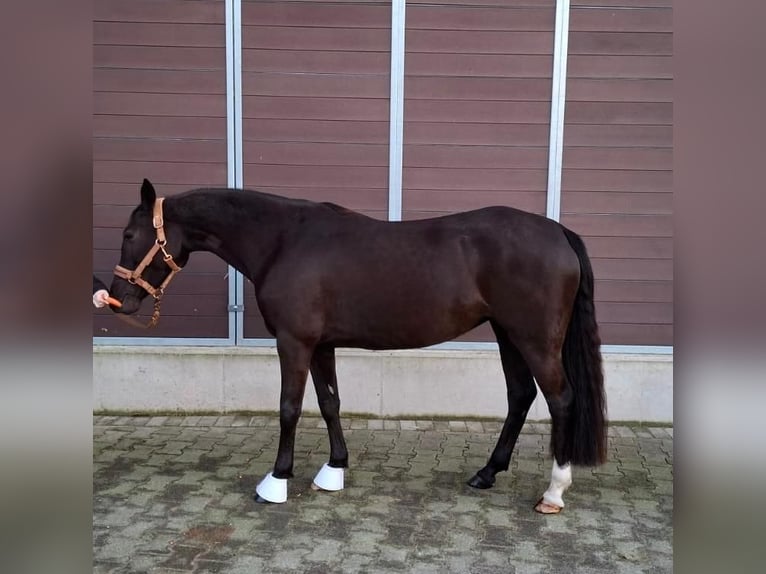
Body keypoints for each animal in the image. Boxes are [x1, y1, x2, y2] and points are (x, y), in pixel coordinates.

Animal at [108, 178, 608, 516]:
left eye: (130, 236)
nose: (119, 300)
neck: (283, 240)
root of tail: (558, 232)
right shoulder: (320, 344)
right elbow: (330, 402)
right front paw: (334, 470)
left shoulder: (293, 342)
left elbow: (289, 407)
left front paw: (277, 480)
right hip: (507, 334)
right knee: (520, 396)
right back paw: (486, 474)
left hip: (534, 338)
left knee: (561, 400)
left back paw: (553, 492)